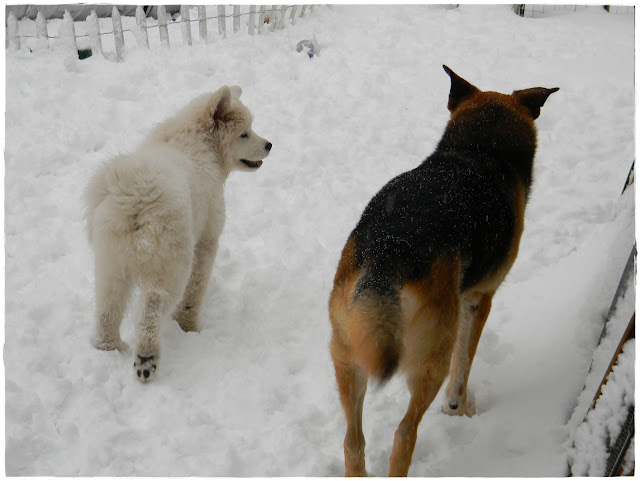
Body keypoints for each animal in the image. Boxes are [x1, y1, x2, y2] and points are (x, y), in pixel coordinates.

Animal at [85, 85, 272, 383]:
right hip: (170, 260)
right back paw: (146, 359)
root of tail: (135, 196)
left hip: (110, 260)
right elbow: (195, 289)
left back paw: (109, 348)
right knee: (154, 303)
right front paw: (189, 327)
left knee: (108, 308)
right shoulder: (206, 239)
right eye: (244, 133)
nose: (269, 145)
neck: (198, 141)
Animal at [328, 66, 558, 476]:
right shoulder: (478, 300)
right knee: (405, 433)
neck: (480, 149)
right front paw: (459, 411)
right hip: (431, 351)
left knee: (353, 441)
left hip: (347, 349)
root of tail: (389, 250)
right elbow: (462, 367)